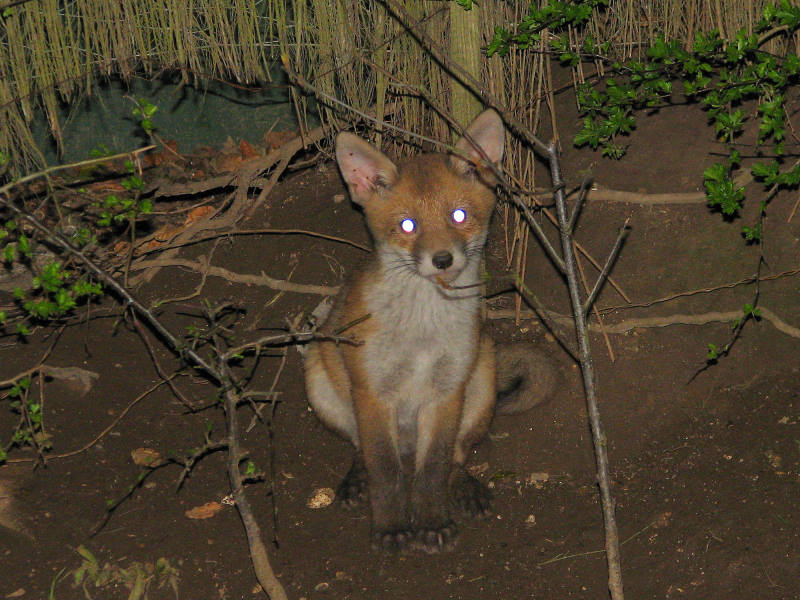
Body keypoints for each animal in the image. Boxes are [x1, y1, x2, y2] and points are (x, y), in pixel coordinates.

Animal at [304, 109, 555, 553]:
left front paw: (432, 521)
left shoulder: (447, 391)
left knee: (455, 457)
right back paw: (356, 480)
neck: (421, 335)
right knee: (360, 448)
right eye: (408, 225)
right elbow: (385, 471)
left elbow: (434, 467)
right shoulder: (372, 392)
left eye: (459, 216)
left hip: (480, 384)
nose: (442, 259)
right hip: (320, 382)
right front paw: (390, 528)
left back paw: (463, 487)